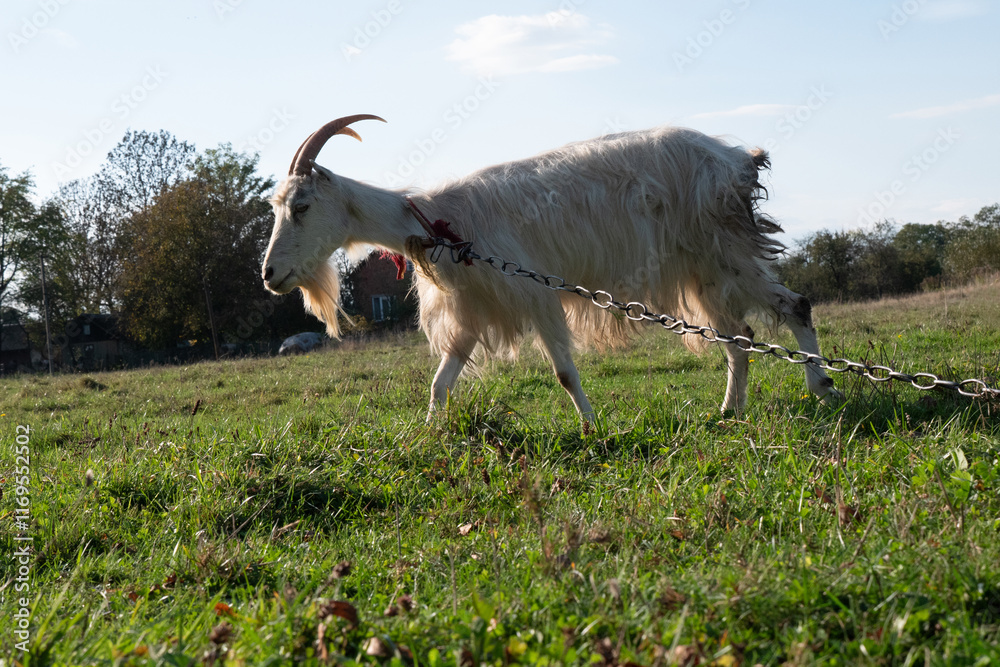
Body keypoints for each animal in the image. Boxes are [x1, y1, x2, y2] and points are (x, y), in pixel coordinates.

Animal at [261, 115, 842, 419]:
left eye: (302, 206)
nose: (269, 276)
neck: (438, 218)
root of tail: (740, 160)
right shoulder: (475, 309)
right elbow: (440, 382)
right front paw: (430, 435)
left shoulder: (533, 291)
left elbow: (563, 372)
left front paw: (591, 427)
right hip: (703, 271)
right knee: (738, 336)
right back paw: (728, 412)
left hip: (726, 252)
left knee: (794, 305)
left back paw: (821, 387)